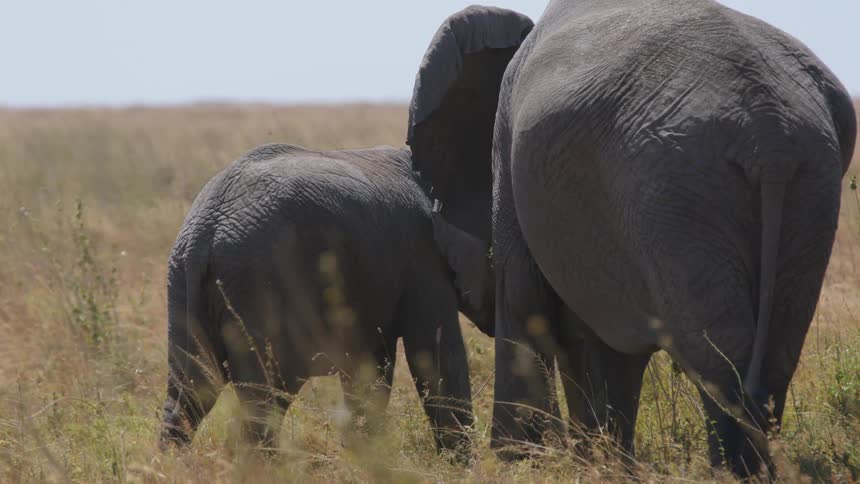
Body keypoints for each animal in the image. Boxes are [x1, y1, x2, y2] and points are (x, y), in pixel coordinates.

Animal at [159, 143, 494, 456]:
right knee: (266, 396)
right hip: (257, 284)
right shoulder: (423, 255)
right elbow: (436, 356)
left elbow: (370, 371)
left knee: (192, 390)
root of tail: (205, 233)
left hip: (184, 282)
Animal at [407, 2, 856, 477]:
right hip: (810, 183)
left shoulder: (509, 147)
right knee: (779, 346)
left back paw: (733, 474)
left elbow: (526, 301)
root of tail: (770, 139)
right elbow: (602, 346)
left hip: (675, 190)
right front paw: (603, 463)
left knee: (719, 352)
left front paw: (517, 462)